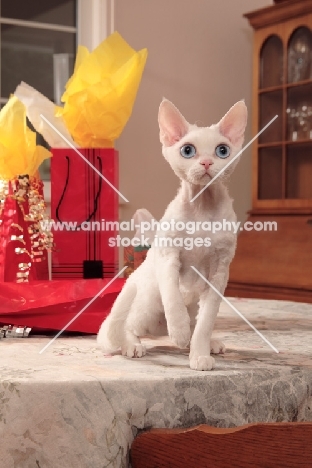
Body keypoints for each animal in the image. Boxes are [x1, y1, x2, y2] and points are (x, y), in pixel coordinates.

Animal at [97, 100, 246, 372]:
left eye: (222, 151)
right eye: (187, 150)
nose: (207, 163)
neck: (202, 208)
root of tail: (157, 331)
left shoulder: (220, 271)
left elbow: (206, 322)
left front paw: (198, 353)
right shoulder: (168, 257)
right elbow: (173, 298)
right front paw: (180, 332)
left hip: (193, 303)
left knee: (196, 320)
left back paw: (206, 342)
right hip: (146, 302)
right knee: (123, 327)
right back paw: (133, 344)